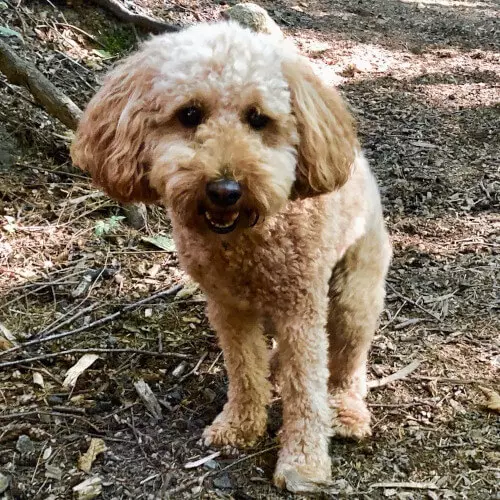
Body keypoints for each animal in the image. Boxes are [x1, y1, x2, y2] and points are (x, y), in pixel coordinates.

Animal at [71, 20, 390, 492]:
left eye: (258, 118)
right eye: (189, 114)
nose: (225, 189)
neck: (243, 239)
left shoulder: (301, 308)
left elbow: (305, 388)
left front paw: (303, 462)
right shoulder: (227, 307)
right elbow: (244, 368)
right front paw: (240, 425)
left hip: (354, 291)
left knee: (347, 360)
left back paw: (347, 410)